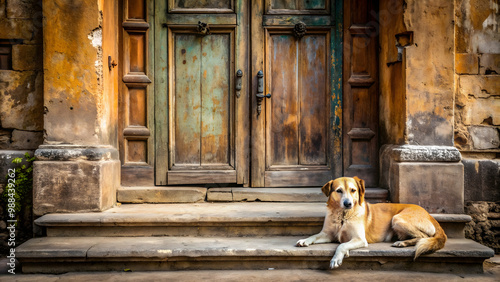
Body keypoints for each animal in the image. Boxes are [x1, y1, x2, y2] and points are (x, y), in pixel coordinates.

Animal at [294, 176, 448, 268]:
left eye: (353, 190)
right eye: (338, 191)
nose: (348, 203)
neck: (342, 216)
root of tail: (430, 215)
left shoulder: (360, 239)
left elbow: (342, 245)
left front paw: (336, 258)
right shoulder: (327, 234)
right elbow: (314, 236)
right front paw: (305, 240)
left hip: (397, 218)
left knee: (424, 237)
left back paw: (402, 243)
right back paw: (402, 242)